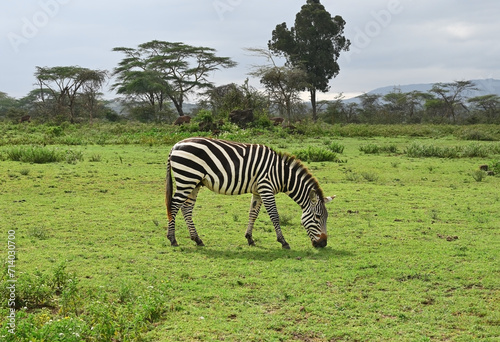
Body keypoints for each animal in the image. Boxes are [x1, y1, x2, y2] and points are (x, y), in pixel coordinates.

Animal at [166, 137, 334, 248]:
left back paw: (197, 239)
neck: (281, 174)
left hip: (194, 182)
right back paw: (172, 239)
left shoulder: (258, 191)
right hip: (187, 178)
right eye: (318, 217)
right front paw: (283, 241)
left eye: (326, 217)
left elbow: (253, 214)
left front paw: (249, 238)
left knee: (186, 208)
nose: (323, 244)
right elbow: (274, 215)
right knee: (173, 205)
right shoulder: (266, 188)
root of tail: (175, 146)